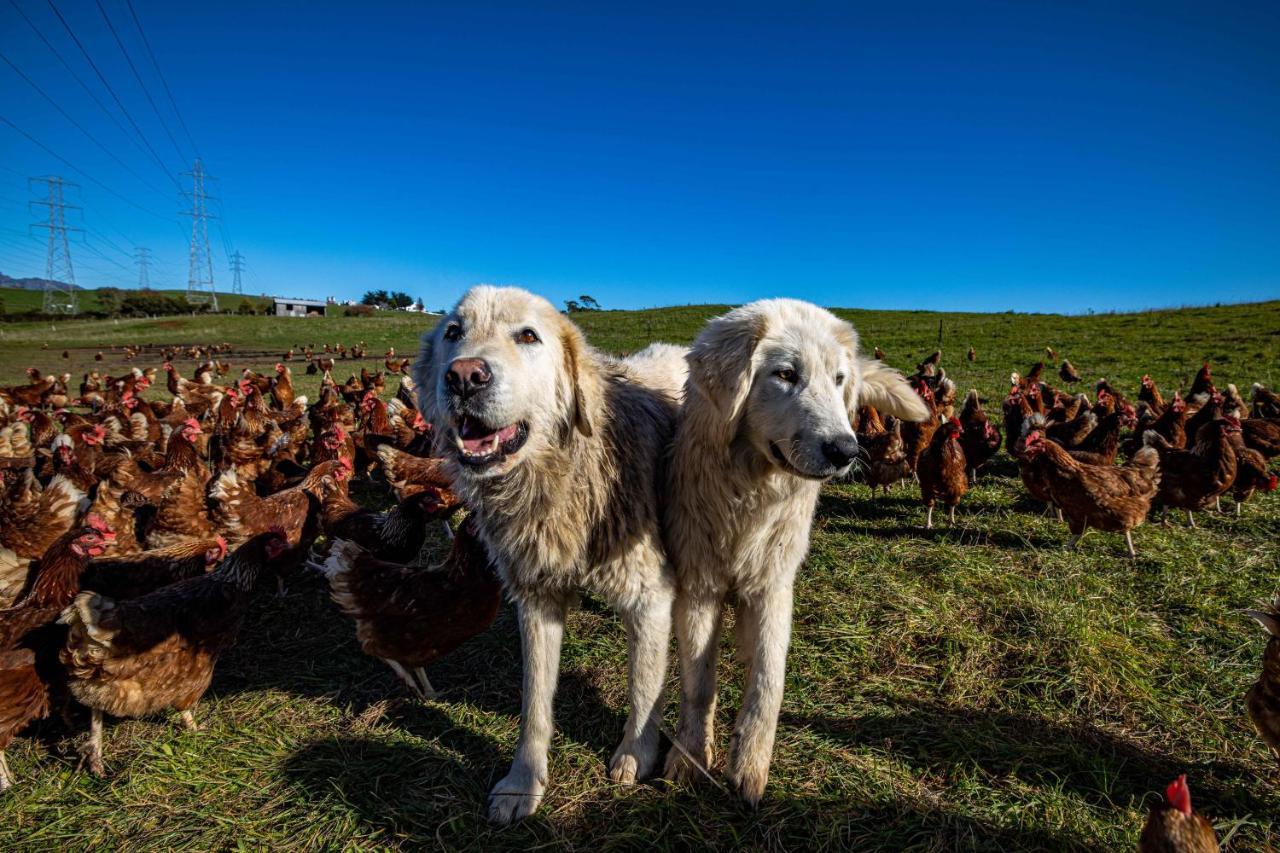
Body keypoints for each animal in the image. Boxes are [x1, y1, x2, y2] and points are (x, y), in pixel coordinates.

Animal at [414, 286, 686, 824]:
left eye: (527, 336)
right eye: (454, 332)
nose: (464, 376)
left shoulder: (649, 598)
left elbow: (644, 687)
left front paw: (634, 756)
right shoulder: (536, 600)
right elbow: (534, 703)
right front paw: (524, 782)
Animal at [660, 298, 931, 804]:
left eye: (840, 379)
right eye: (785, 374)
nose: (846, 451)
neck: (750, 496)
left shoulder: (773, 586)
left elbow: (769, 680)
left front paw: (749, 765)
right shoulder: (700, 587)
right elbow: (698, 684)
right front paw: (690, 756)